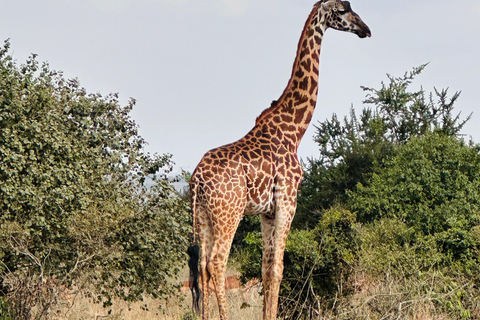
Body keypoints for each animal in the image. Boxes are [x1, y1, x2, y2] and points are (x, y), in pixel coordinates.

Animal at [188, 1, 372, 318]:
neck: (295, 129)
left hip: (203, 216)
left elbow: (265, 269)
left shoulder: (266, 211)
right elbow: (278, 269)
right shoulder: (288, 199)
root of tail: (197, 179)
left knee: (201, 267)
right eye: (342, 9)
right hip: (229, 213)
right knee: (217, 263)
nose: (365, 29)